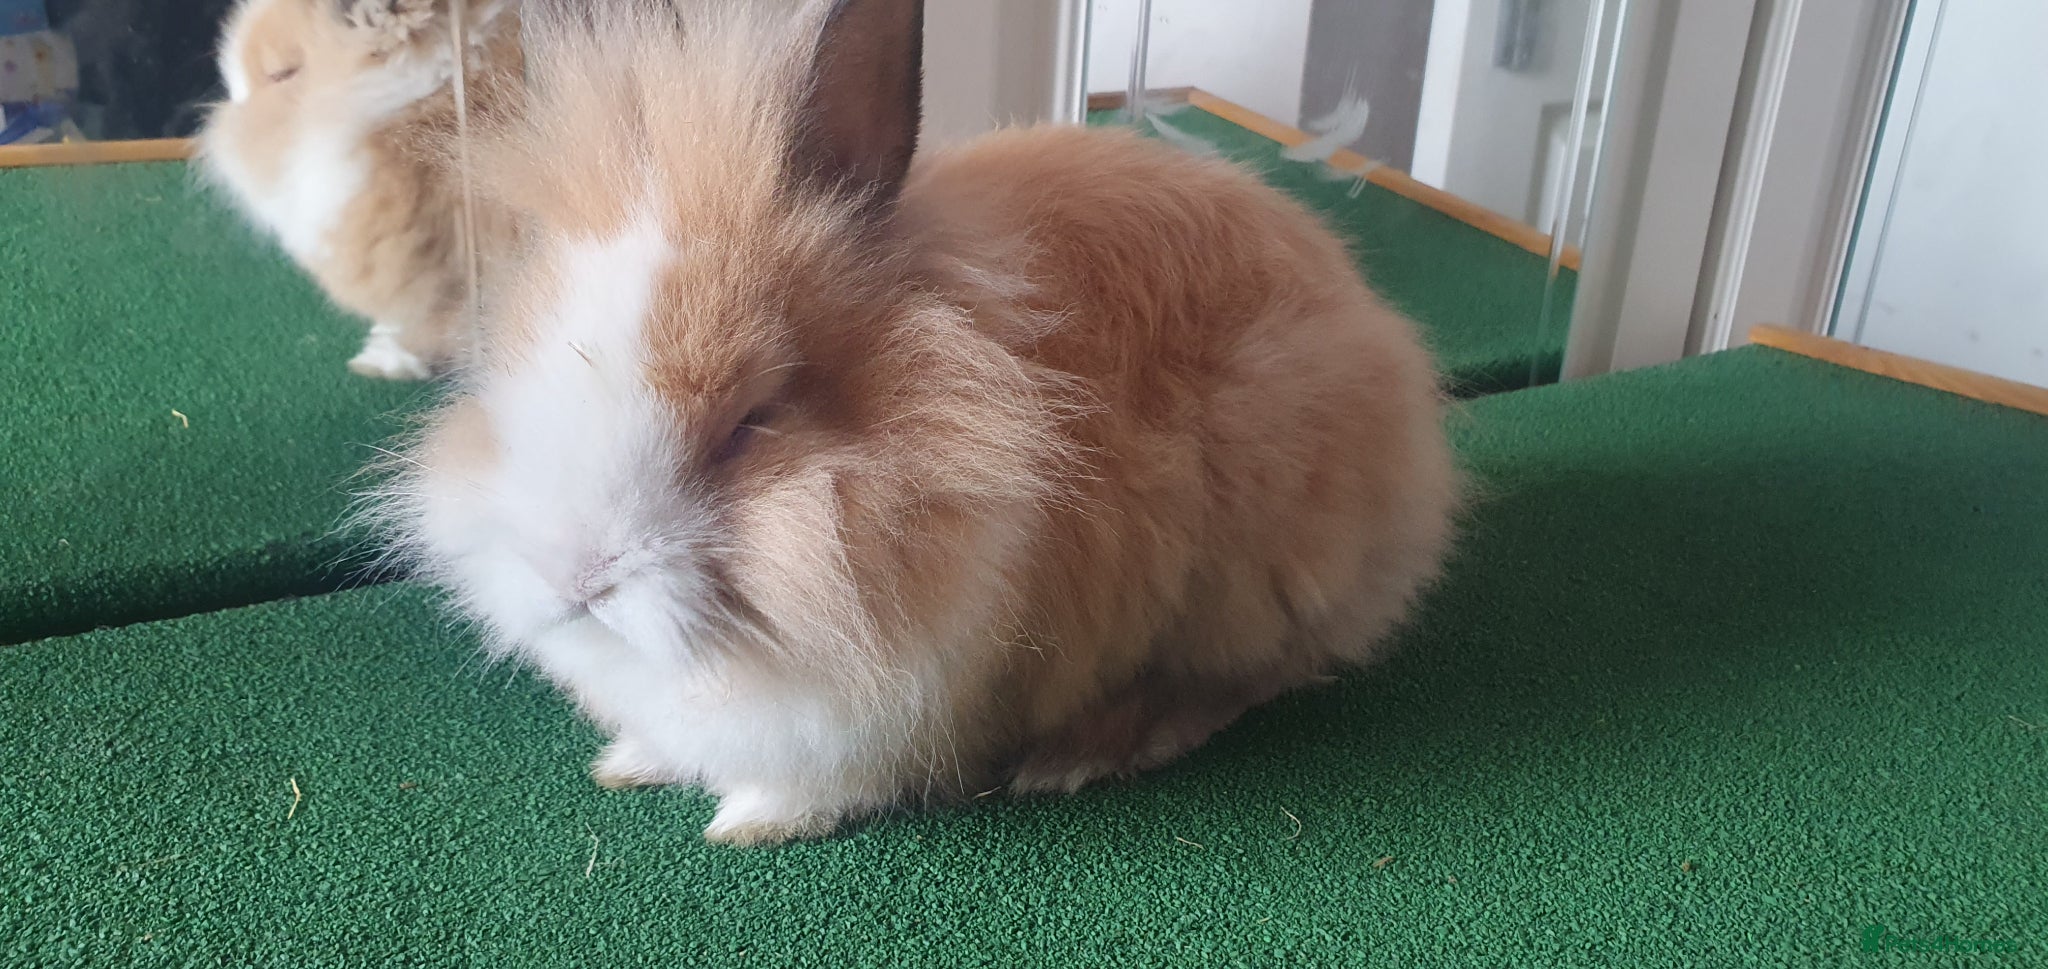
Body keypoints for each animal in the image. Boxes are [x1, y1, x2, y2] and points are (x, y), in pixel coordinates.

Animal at [371, 0, 1459, 846]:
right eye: (514, 375)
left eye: (752, 422)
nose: (573, 579)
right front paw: (631, 759)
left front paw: (751, 821)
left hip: (1253, 547)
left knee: (1236, 680)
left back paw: (1081, 753)